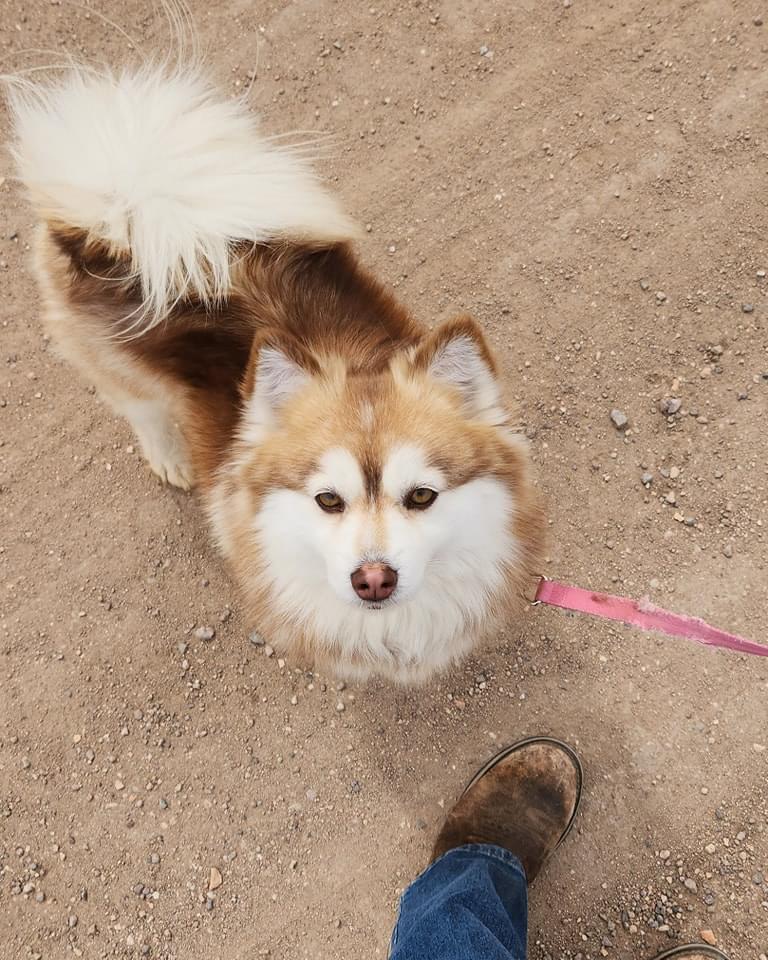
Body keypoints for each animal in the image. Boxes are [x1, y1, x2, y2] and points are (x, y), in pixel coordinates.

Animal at [7, 63, 543, 683]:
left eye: (422, 496)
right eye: (327, 500)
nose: (373, 580)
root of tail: (127, 196)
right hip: (114, 361)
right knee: (139, 406)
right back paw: (169, 457)